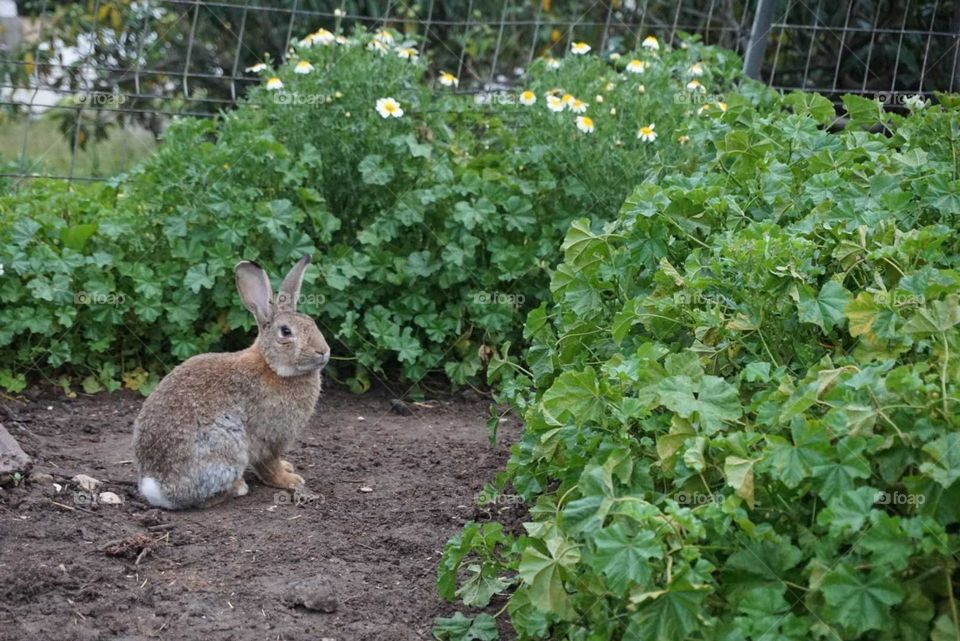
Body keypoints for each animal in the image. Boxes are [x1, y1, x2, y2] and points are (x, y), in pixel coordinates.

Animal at [132, 255, 330, 510]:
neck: (273, 367)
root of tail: (159, 489)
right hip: (226, 446)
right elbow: (270, 464)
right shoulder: (268, 438)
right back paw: (238, 487)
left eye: (312, 322)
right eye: (286, 332)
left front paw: (288, 468)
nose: (323, 351)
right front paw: (290, 480)